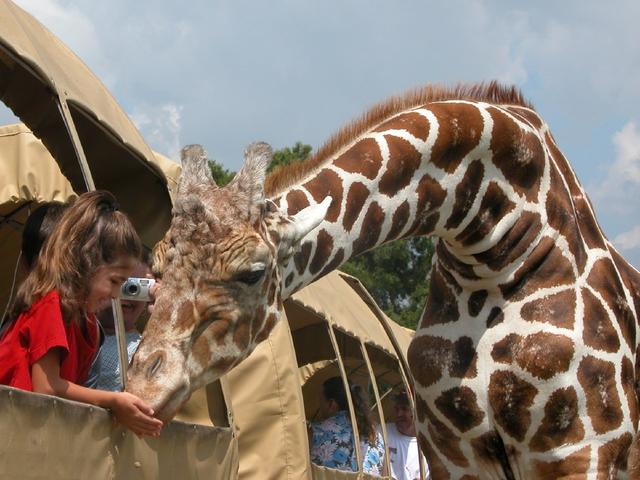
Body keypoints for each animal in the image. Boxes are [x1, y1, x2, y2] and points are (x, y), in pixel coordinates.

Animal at [126, 81, 640, 476]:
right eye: (157, 268)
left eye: (253, 273)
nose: (141, 392)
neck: (492, 249)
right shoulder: (454, 454)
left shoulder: (584, 449)